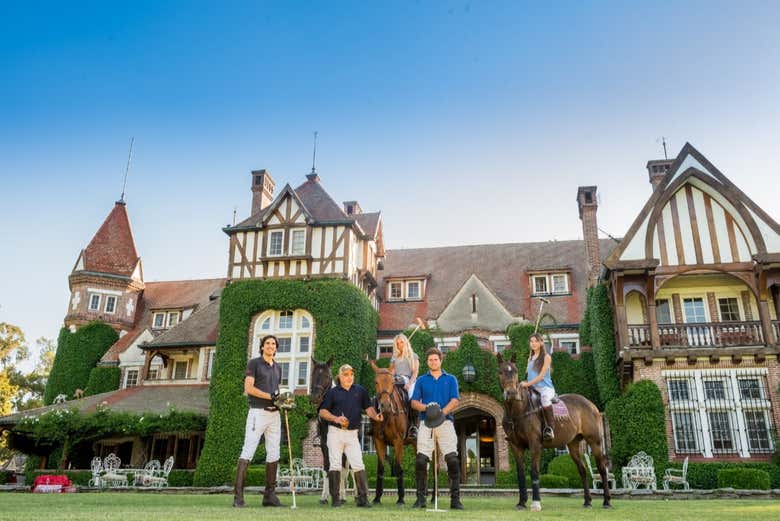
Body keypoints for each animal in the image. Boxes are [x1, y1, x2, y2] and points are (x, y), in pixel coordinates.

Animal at [370, 360, 418, 502]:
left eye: (392, 382)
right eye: (376, 382)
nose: (385, 406)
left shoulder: (398, 442)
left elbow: (398, 467)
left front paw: (401, 498)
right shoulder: (378, 441)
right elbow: (381, 468)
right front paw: (377, 498)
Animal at [496, 352, 612, 510]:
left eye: (515, 371)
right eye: (501, 372)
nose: (512, 393)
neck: (518, 410)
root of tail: (591, 404)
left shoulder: (535, 444)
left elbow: (534, 471)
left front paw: (536, 503)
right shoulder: (515, 446)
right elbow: (520, 475)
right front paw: (521, 502)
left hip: (595, 442)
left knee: (602, 469)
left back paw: (606, 501)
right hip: (573, 444)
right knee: (582, 470)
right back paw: (587, 501)